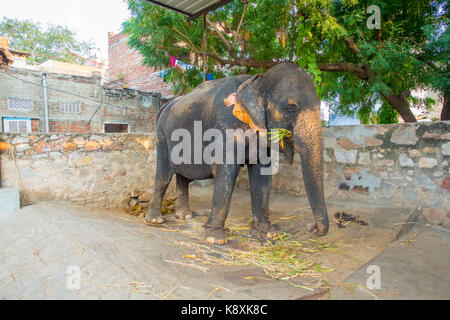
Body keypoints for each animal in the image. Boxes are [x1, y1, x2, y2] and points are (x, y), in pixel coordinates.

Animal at [146, 62, 328, 245]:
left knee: (183, 177)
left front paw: (267, 234)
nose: (311, 227)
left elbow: (261, 174)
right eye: (291, 108)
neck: (256, 81)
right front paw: (214, 239)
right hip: (162, 137)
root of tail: (165, 105)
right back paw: (155, 220)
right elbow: (225, 171)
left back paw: (185, 217)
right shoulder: (224, 127)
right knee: (163, 177)